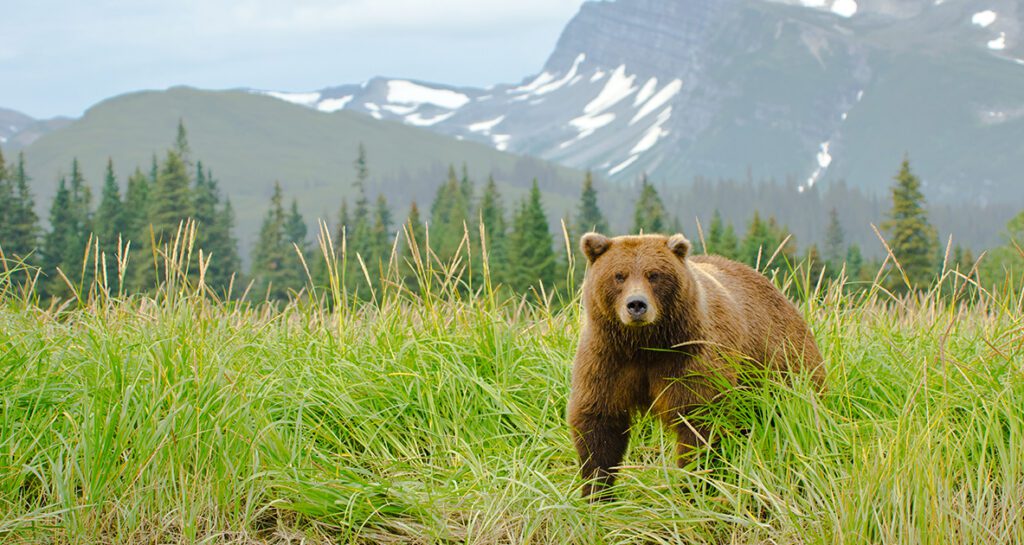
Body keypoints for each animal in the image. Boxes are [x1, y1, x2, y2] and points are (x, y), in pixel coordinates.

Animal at [568, 232, 825, 500]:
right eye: (619, 275)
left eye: (654, 275)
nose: (636, 305)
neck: (646, 345)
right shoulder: (607, 359)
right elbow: (599, 422)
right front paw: (596, 492)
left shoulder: (690, 358)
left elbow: (699, 421)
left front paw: (694, 485)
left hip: (781, 366)